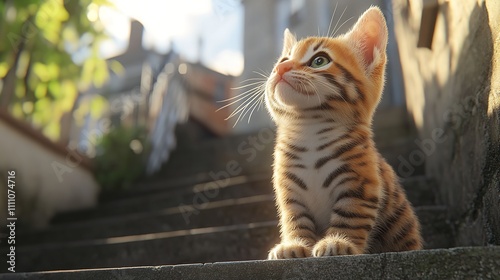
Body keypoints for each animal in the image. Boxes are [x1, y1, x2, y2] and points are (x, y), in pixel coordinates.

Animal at [266, 7, 422, 260]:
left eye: (319, 60)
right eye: (283, 60)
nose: (280, 68)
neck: (310, 129)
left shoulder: (360, 184)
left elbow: (350, 215)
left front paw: (338, 242)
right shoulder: (288, 191)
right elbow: (295, 220)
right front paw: (294, 244)